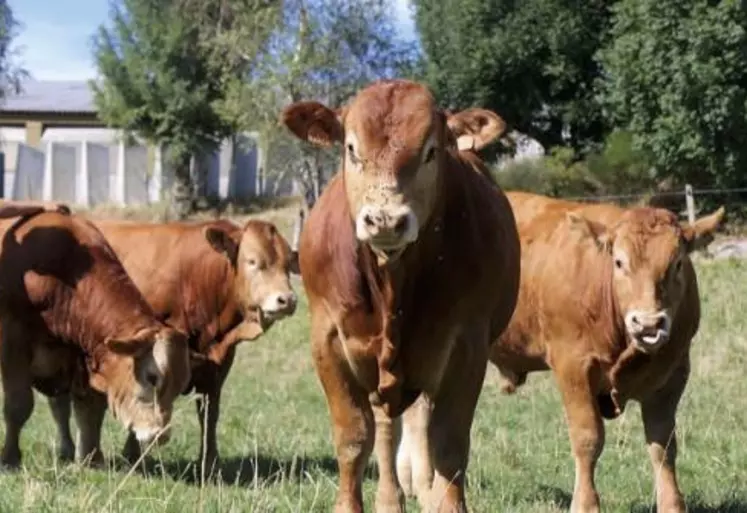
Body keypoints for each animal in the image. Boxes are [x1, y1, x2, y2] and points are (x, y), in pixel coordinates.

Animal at [0, 206, 193, 466]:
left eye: (180, 386)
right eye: (152, 377)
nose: (159, 435)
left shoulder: (80, 353)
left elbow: (88, 409)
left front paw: (90, 458)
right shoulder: (14, 343)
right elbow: (18, 405)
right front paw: (10, 458)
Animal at [45, 214, 298, 470]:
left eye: (288, 264)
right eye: (253, 261)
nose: (287, 300)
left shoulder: (218, 364)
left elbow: (208, 413)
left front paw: (209, 462)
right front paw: (132, 453)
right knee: (60, 404)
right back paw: (67, 449)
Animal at [280, 77, 520, 512]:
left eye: (431, 151)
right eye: (351, 148)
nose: (386, 219)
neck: (392, 285)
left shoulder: (466, 347)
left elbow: (449, 445)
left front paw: (446, 502)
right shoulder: (328, 341)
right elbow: (354, 438)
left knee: (421, 421)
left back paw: (423, 487)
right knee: (387, 426)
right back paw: (391, 497)